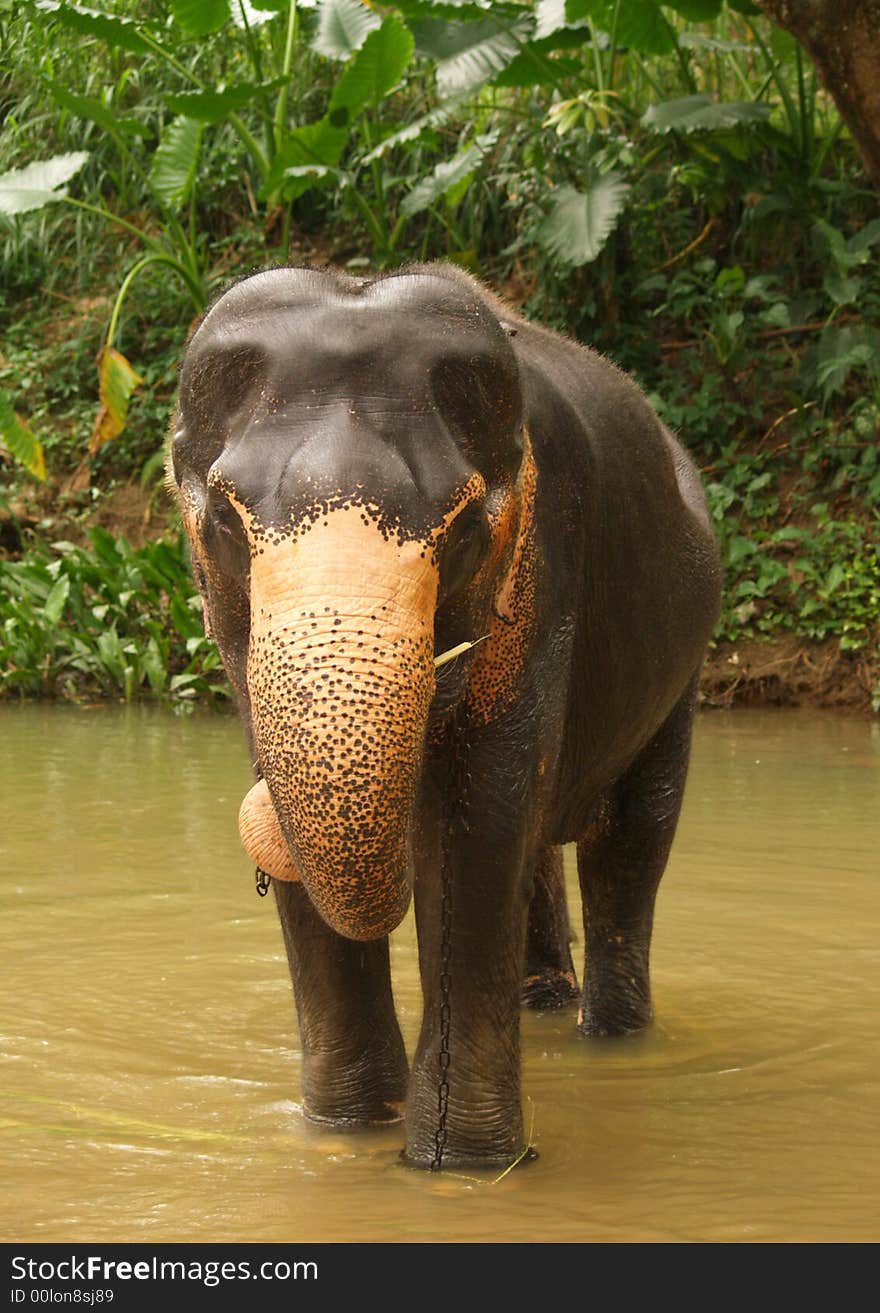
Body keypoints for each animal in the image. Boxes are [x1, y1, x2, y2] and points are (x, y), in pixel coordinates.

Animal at [172, 261, 725, 1176]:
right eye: (223, 521)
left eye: (465, 529)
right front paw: (345, 1130)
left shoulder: (545, 558)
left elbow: (483, 819)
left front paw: (463, 1169)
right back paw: (543, 1003)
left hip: (683, 663)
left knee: (629, 844)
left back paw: (611, 1037)